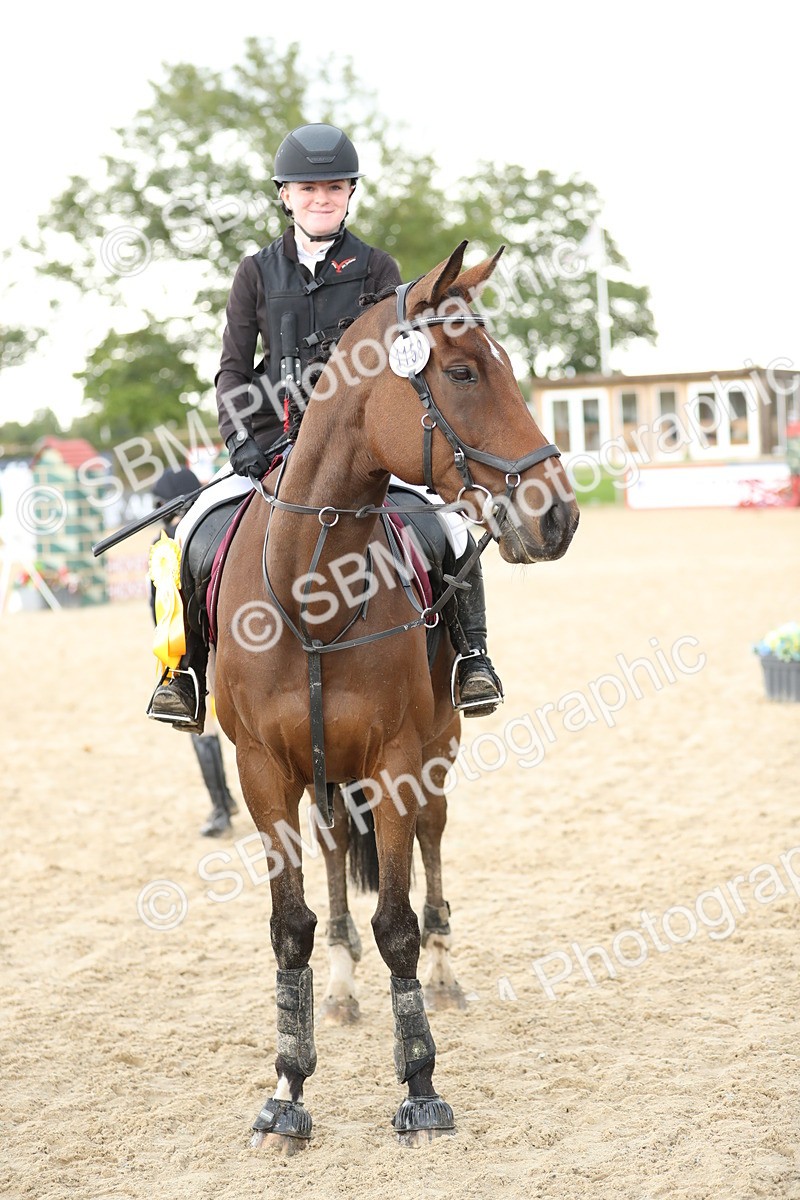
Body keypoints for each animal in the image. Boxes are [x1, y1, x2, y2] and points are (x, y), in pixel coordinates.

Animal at [211, 240, 580, 1149]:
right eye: (462, 371)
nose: (557, 517)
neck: (313, 591)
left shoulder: (399, 762)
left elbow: (400, 925)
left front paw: (420, 1086)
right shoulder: (263, 773)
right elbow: (291, 929)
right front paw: (287, 1090)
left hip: (435, 752)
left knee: (434, 847)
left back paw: (445, 974)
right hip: (322, 777)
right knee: (338, 855)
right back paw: (343, 988)